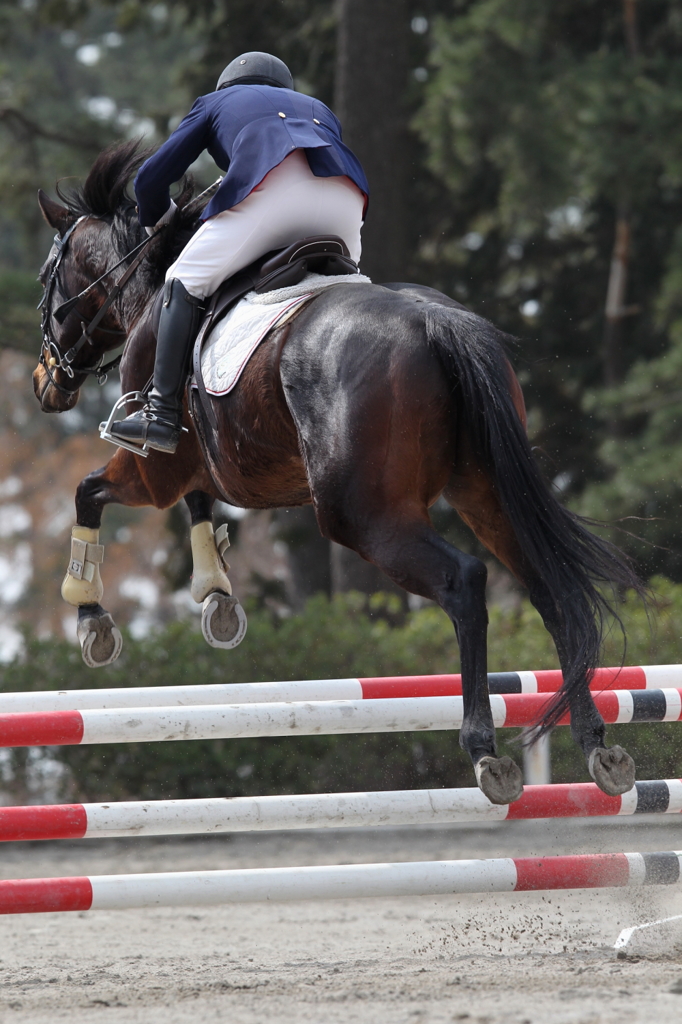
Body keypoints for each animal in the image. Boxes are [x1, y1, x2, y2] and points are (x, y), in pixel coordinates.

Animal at [30, 140, 643, 806]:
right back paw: (598, 744)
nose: (44, 383)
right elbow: (198, 505)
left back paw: (484, 749)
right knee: (548, 587)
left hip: (363, 516)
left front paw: (92, 619)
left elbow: (88, 492)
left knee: (464, 581)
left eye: (46, 281)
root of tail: (435, 322)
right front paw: (217, 596)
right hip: (484, 495)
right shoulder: (211, 468)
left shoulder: (150, 467)